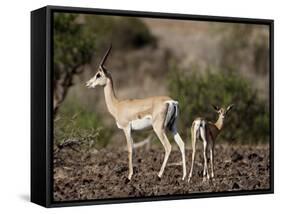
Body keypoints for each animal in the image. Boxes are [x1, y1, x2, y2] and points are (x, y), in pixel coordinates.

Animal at [85, 45, 186, 181]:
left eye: (98, 74)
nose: (88, 84)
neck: (117, 105)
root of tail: (171, 101)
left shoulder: (126, 129)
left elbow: (129, 149)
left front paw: (129, 176)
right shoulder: (132, 131)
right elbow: (134, 149)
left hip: (159, 129)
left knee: (168, 147)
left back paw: (159, 175)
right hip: (172, 127)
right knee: (182, 144)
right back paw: (185, 177)